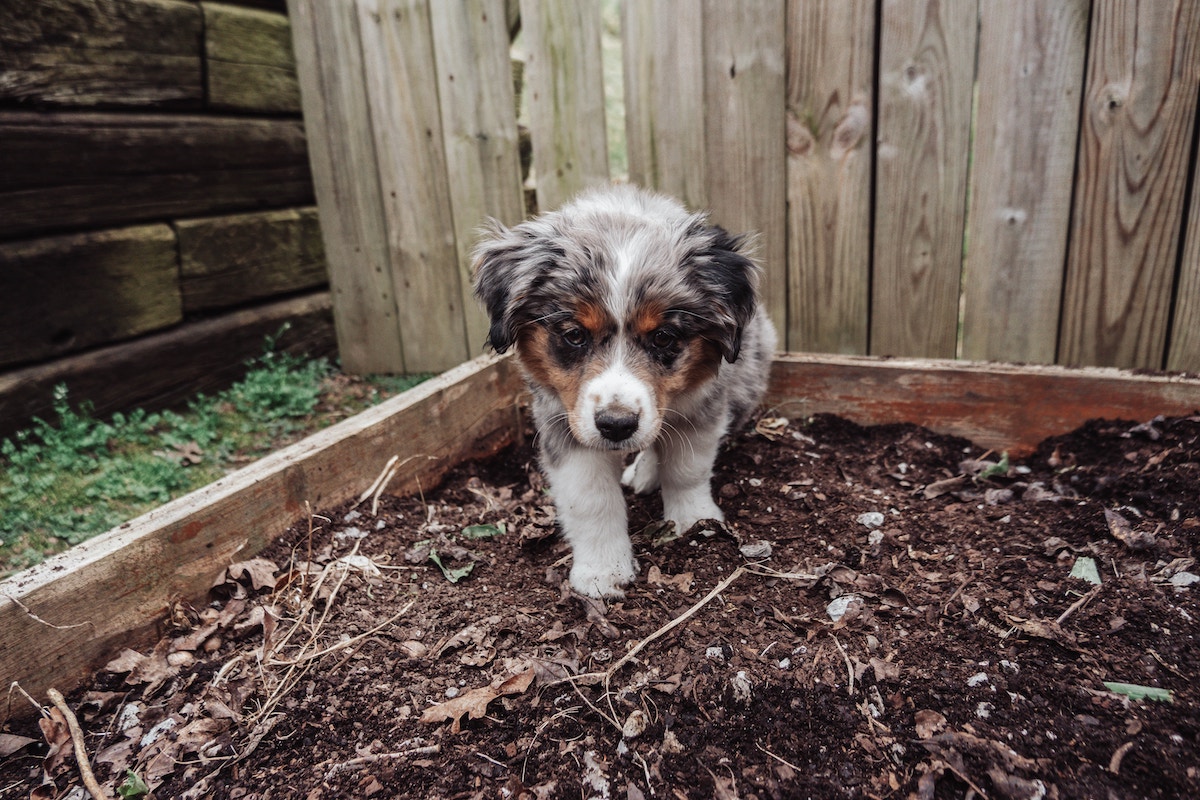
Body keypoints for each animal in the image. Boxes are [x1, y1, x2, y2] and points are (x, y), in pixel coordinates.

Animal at [472, 188, 772, 597]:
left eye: (663, 337)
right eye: (574, 335)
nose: (616, 426)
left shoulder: (702, 407)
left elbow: (687, 469)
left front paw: (695, 521)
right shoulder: (564, 421)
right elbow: (591, 499)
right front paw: (602, 571)